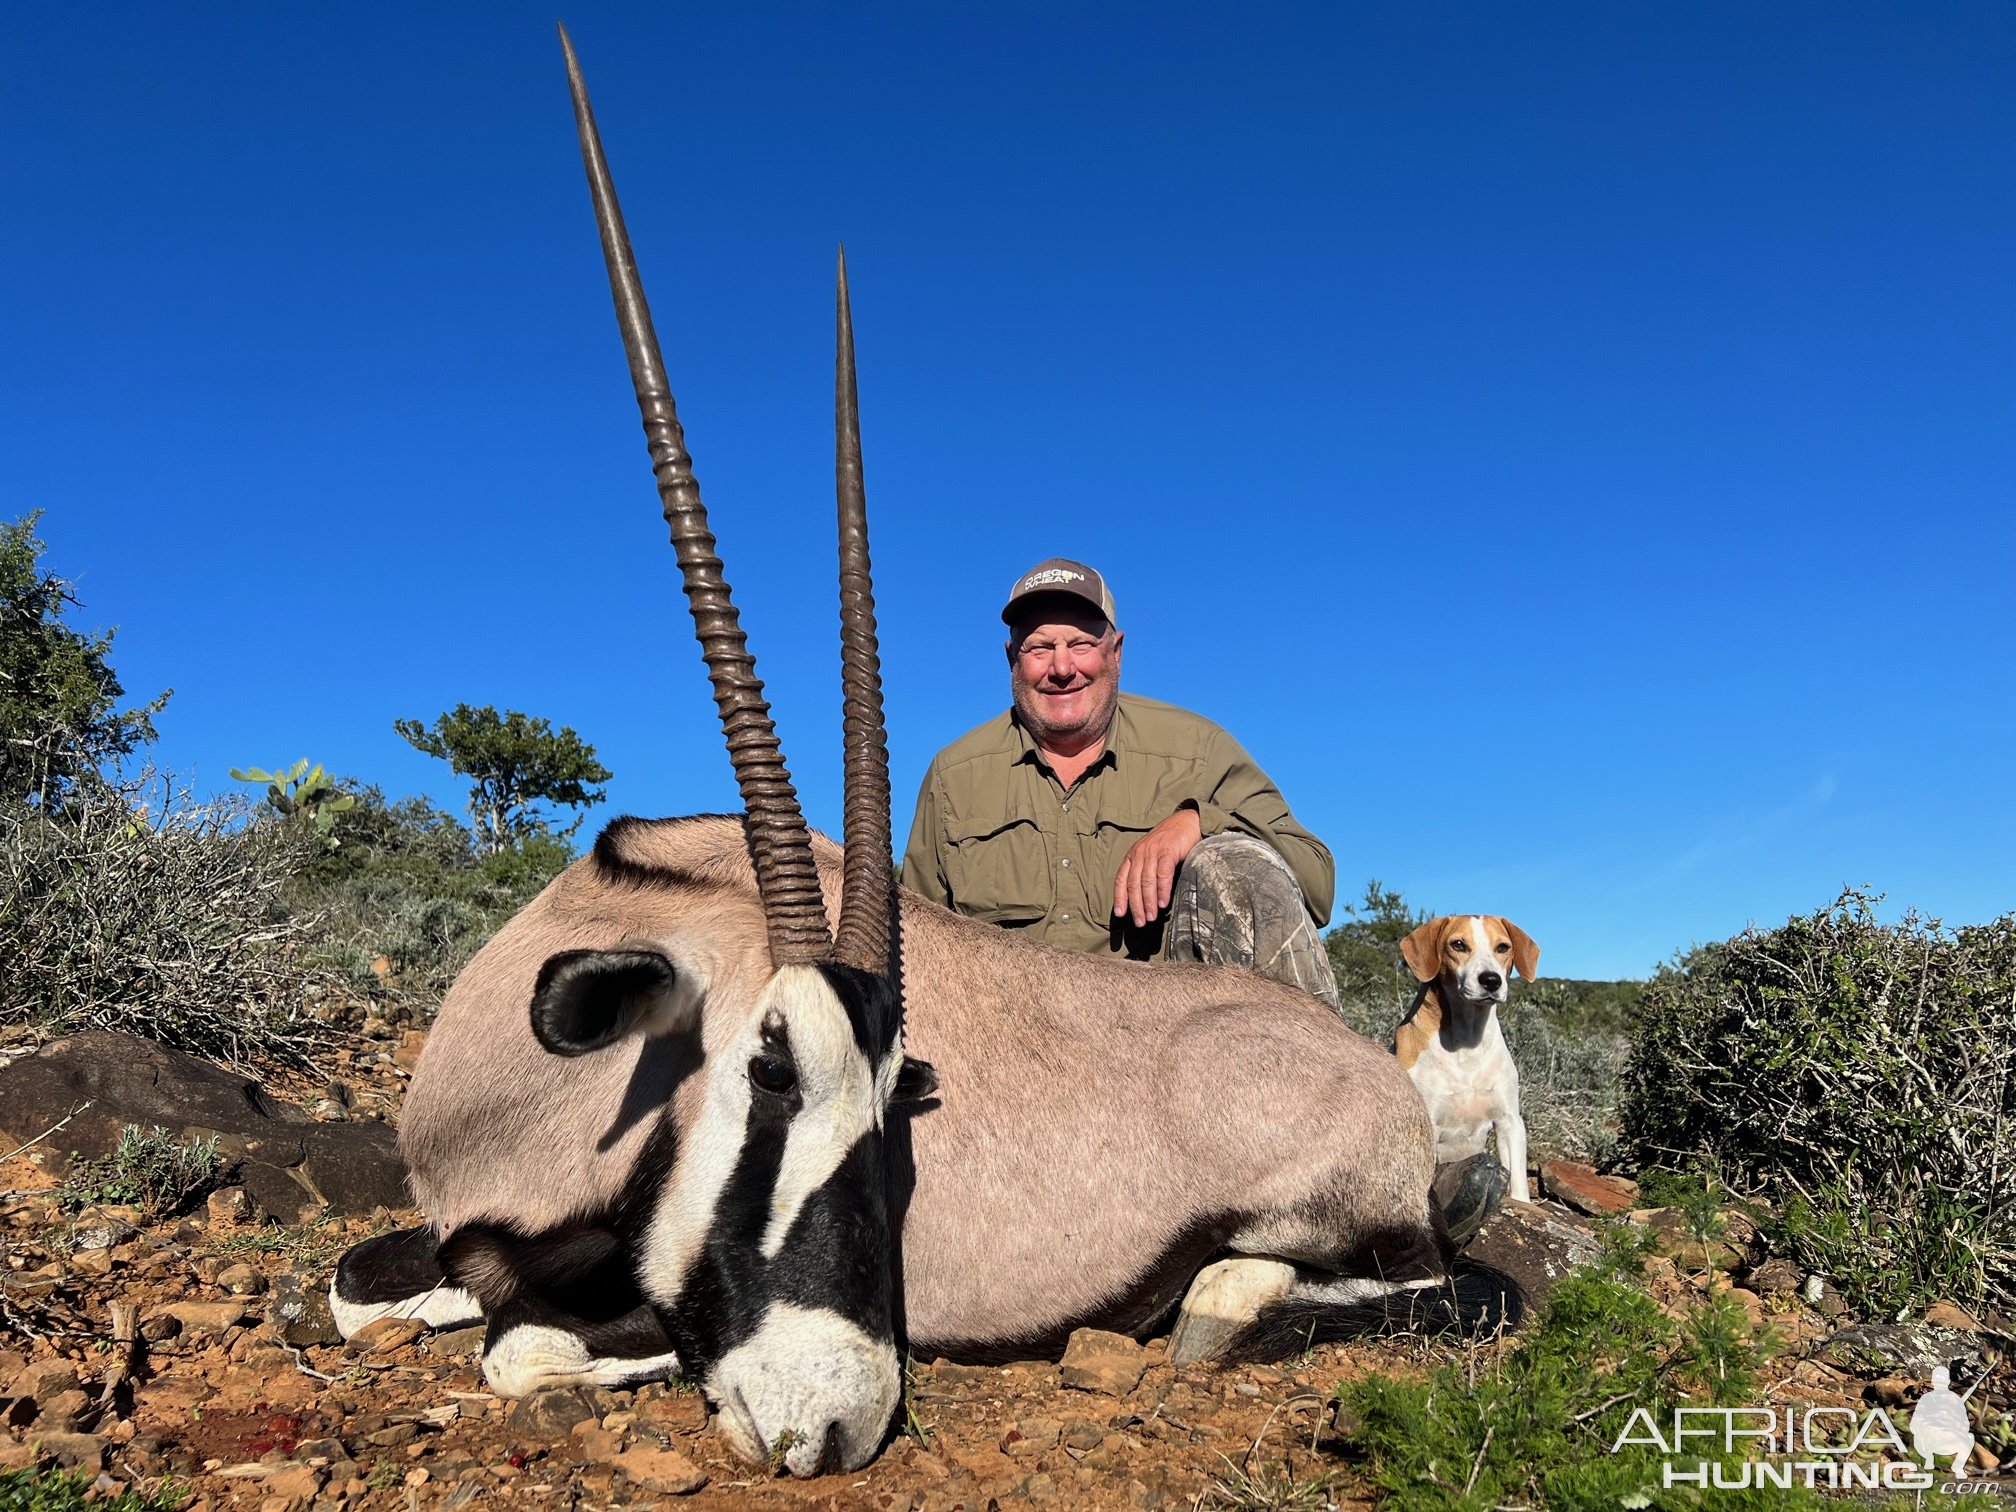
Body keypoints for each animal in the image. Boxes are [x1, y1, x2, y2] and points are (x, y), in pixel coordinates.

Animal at [1395, 923, 1532, 1209]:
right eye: (1458, 945)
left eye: (1503, 947)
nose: (1491, 980)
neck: (1468, 1043)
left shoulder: (1510, 1121)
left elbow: (1518, 1184)